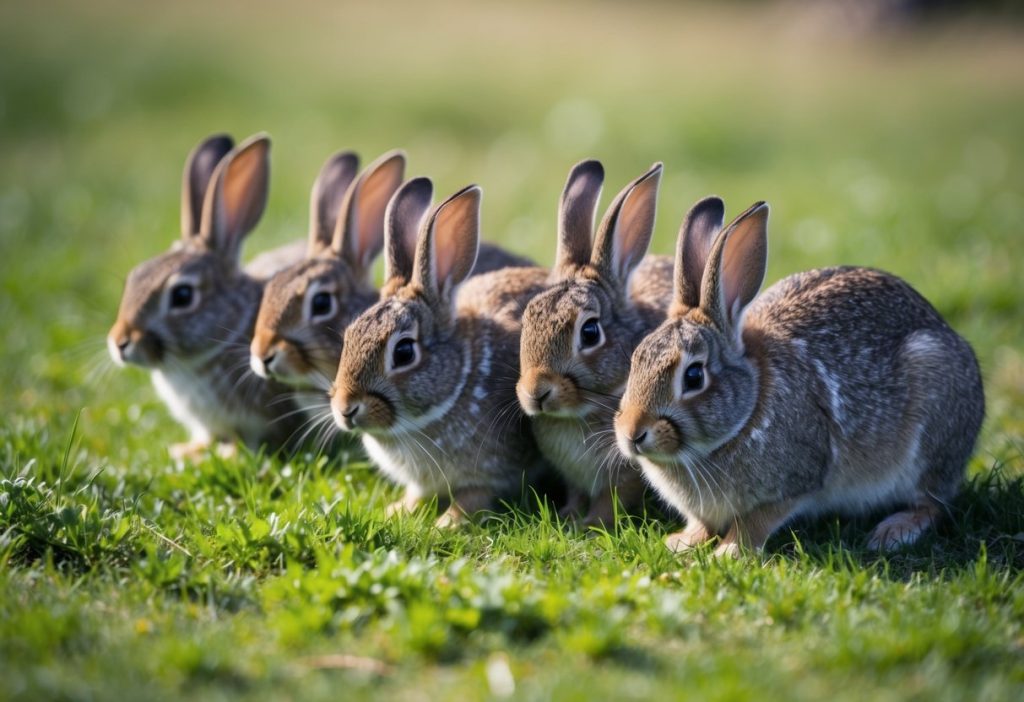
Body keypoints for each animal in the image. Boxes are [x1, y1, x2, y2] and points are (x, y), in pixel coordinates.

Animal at [331, 177, 552, 526]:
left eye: (404, 352)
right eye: (349, 336)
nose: (345, 408)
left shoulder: (494, 471)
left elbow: (474, 497)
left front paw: (447, 523)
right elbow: (416, 495)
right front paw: (395, 511)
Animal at [517, 159, 673, 526]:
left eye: (589, 333)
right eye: (526, 320)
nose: (535, 392)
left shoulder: (626, 474)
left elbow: (611, 499)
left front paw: (591, 525)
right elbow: (577, 494)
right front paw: (569, 517)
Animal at [615, 196, 985, 556]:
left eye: (693, 377)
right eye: (635, 359)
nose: (632, 433)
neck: (747, 412)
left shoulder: (797, 482)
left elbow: (757, 520)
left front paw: (731, 551)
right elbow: (701, 523)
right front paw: (681, 542)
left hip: (933, 424)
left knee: (933, 502)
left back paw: (894, 531)